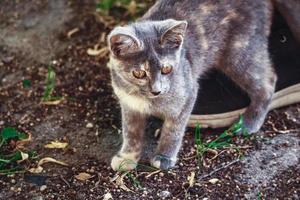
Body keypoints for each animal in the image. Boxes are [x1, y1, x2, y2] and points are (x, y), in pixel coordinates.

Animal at [106, 0, 298, 170]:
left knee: (268, 80)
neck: (143, 97)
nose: (157, 90)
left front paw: (164, 157)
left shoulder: (187, 93)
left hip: (240, 51)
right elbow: (131, 132)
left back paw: (248, 122)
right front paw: (126, 158)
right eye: (139, 73)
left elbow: (173, 130)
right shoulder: (129, 104)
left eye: (167, 69)